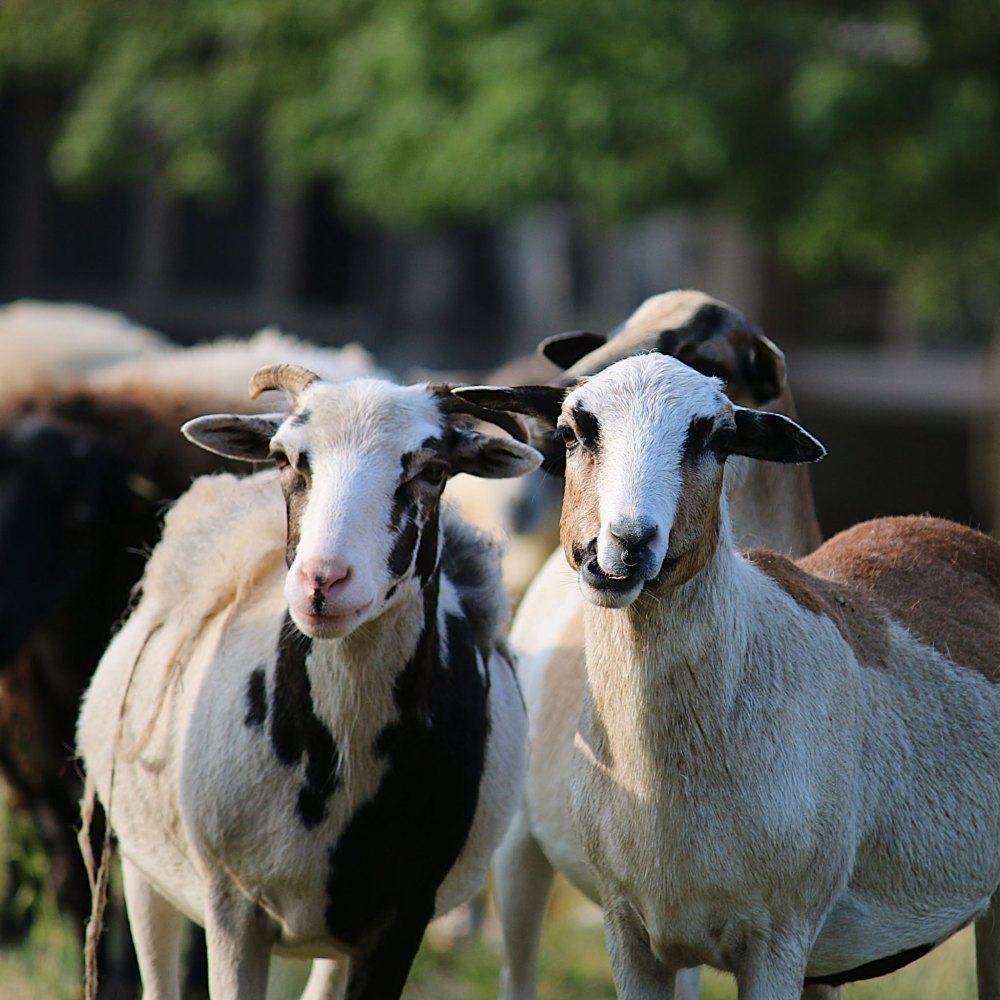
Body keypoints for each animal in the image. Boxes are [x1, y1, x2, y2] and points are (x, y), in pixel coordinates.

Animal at [76, 363, 542, 1000]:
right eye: (283, 458)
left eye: (433, 471)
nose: (323, 582)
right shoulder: (233, 908)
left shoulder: (401, 918)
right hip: (147, 868)